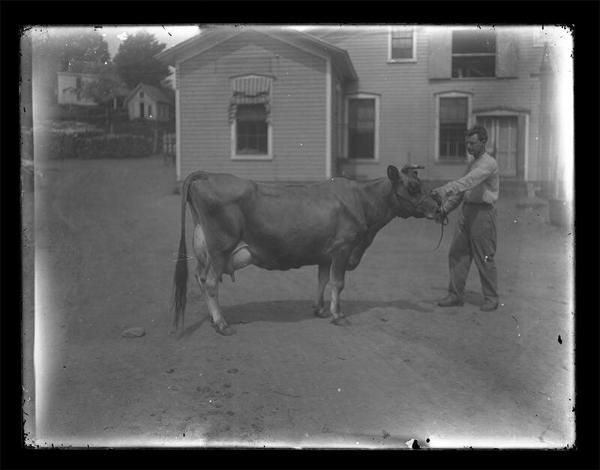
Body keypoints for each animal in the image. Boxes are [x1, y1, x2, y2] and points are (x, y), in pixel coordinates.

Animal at [173, 164, 440, 334]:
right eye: (413, 187)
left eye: (421, 183)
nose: (437, 208)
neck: (363, 201)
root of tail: (207, 175)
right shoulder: (343, 248)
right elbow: (338, 283)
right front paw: (338, 315)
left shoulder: (326, 254)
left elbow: (323, 280)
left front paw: (320, 309)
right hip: (221, 248)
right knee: (210, 283)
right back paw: (222, 324)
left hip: (206, 249)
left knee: (200, 277)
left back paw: (212, 318)